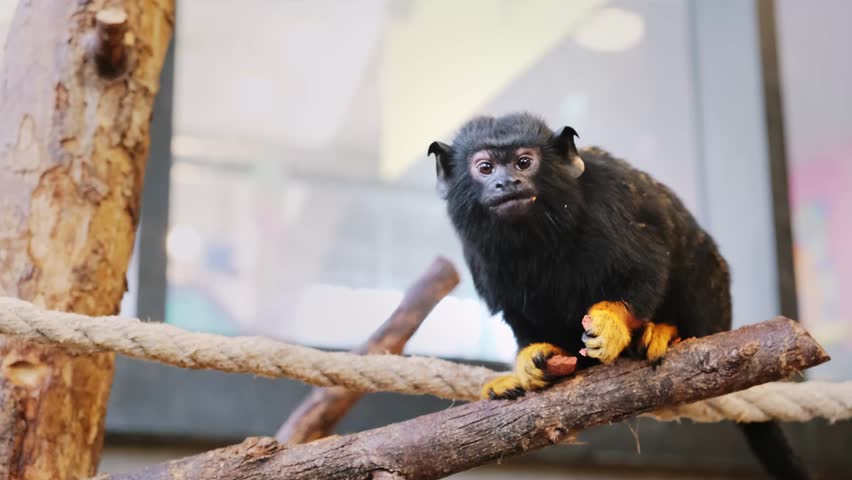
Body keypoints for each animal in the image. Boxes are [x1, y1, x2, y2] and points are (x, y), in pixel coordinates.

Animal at [428, 112, 809, 480]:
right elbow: (518, 312)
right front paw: (531, 361)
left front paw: (610, 325)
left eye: (524, 162)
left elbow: (648, 266)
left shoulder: (607, 206)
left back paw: (668, 333)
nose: (506, 183)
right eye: (486, 168)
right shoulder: (480, 259)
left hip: (712, 302)